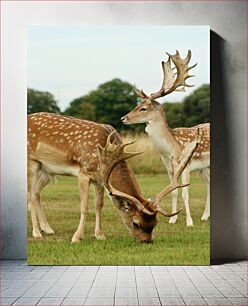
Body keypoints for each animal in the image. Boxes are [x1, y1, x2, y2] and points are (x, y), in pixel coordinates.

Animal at [27, 111, 200, 243]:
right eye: (136, 223)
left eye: (155, 223)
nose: (147, 241)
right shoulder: (84, 172)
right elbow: (84, 207)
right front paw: (76, 237)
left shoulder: (99, 179)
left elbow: (99, 205)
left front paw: (100, 235)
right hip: (32, 162)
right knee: (31, 194)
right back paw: (36, 232)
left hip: (46, 170)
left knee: (36, 194)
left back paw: (47, 229)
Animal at [121, 49, 210, 227]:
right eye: (136, 105)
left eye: (143, 108)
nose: (123, 118)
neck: (170, 150)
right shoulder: (168, 167)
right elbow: (174, 192)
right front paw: (173, 219)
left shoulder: (186, 165)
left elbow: (184, 193)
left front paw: (189, 222)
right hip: (204, 168)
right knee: (209, 183)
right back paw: (205, 216)